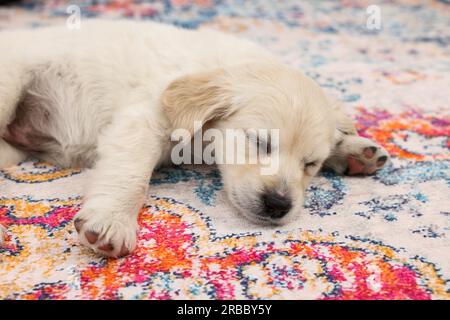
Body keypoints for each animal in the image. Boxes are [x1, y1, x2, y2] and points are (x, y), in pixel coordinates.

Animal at [0, 20, 386, 256]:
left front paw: (353, 149)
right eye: (260, 142)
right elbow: (132, 176)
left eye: (310, 164)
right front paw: (112, 221)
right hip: (12, 81)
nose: (279, 205)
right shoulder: (146, 117)